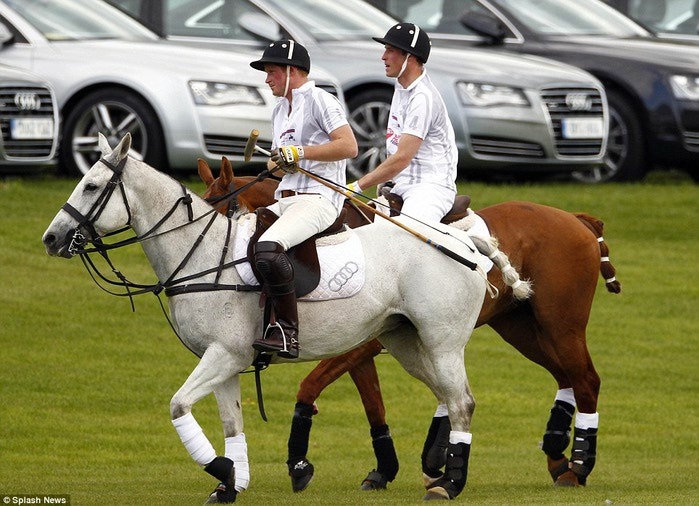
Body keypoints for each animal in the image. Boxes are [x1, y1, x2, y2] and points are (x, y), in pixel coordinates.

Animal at [42, 133, 498, 502]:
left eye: (91, 186)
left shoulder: (225, 354)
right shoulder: (222, 361)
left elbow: (177, 405)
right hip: (403, 340)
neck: (203, 258)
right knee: (447, 398)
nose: (51, 238)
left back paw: (450, 483)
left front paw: (226, 471)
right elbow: (231, 425)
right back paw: (436, 470)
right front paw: (230, 484)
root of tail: (464, 242)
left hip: (442, 340)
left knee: (461, 401)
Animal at [198, 157, 624, 490]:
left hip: (560, 324)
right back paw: (557, 459)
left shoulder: (365, 343)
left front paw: (300, 462)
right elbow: (374, 406)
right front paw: (384, 470)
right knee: (565, 376)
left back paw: (579, 464)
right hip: (521, 327)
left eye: (221, 214)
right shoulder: (363, 345)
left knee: (586, 379)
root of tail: (577, 219)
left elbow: (309, 387)